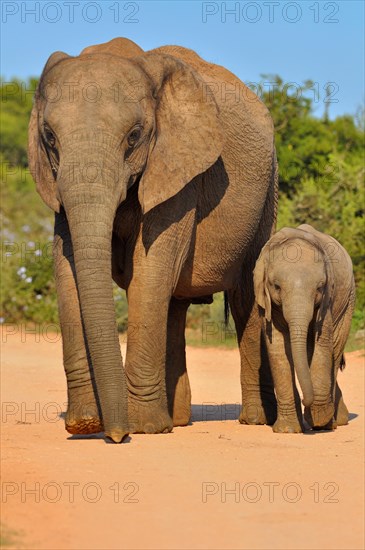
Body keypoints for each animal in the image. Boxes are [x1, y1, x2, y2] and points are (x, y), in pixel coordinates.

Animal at [28, 36, 278, 444]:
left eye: (134, 136)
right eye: (49, 137)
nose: (115, 436)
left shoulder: (179, 169)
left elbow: (150, 268)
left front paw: (141, 428)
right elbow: (66, 266)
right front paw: (84, 425)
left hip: (267, 191)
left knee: (244, 298)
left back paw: (254, 420)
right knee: (175, 305)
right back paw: (175, 421)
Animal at [253, 224, 352, 436]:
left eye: (320, 288)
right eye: (276, 286)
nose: (308, 403)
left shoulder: (327, 301)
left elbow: (322, 342)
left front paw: (319, 420)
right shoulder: (265, 301)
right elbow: (277, 347)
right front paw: (288, 430)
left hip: (348, 302)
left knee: (335, 350)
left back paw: (330, 423)